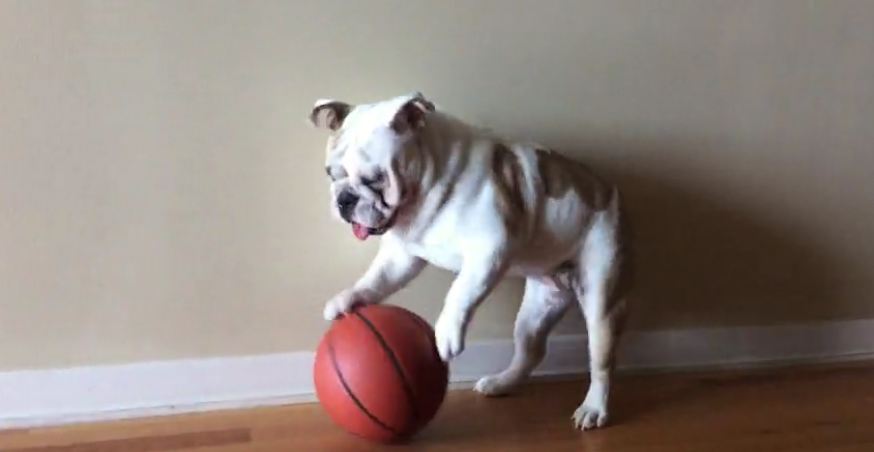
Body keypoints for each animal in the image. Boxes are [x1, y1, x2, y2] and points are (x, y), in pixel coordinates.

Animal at [310, 93, 632, 430]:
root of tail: (608, 190)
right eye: (331, 174)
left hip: (601, 298)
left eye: (375, 179)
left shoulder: (488, 251)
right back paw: (502, 383)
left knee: (602, 363)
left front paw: (446, 334)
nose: (344, 199)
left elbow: (459, 291)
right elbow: (377, 279)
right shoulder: (402, 256)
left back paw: (594, 408)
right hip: (537, 308)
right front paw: (348, 299)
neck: (430, 184)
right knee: (530, 349)